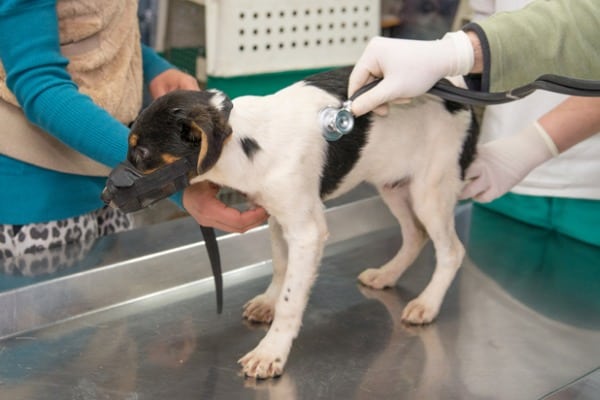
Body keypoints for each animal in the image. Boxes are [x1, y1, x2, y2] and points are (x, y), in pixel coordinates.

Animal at [125, 68, 478, 378]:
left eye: (141, 153)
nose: (111, 196)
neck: (248, 144)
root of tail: (457, 92)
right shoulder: (277, 218)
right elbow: (281, 268)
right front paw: (268, 302)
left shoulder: (306, 231)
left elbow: (291, 299)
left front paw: (270, 352)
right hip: (393, 185)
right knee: (415, 234)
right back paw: (386, 274)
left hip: (430, 191)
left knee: (452, 251)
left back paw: (427, 304)